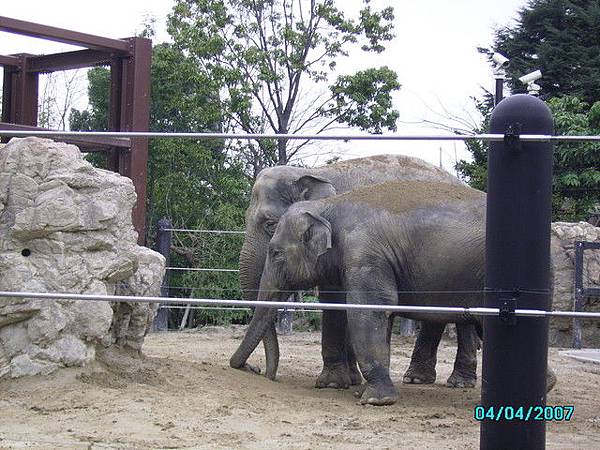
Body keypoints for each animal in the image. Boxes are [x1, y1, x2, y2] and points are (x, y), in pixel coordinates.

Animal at [232, 154, 476, 386]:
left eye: (270, 225)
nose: (257, 370)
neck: (315, 172)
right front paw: (350, 379)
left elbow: (336, 299)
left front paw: (332, 383)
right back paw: (416, 379)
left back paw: (457, 382)